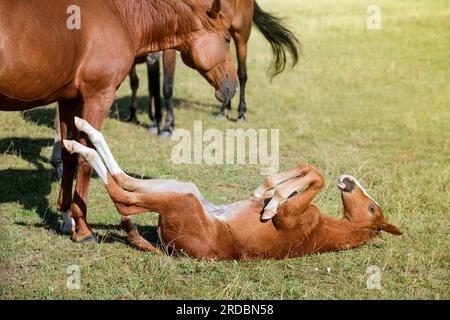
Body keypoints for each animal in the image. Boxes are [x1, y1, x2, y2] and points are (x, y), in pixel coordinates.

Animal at [0, 0, 239, 241]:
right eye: (227, 39)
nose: (233, 87)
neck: (120, 17)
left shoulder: (68, 101)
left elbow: (69, 156)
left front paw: (67, 219)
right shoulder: (98, 97)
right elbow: (85, 160)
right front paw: (83, 228)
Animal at [63, 117, 400, 260]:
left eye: (372, 208)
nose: (349, 180)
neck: (325, 229)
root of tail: (168, 248)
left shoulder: (290, 218)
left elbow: (315, 178)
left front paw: (272, 204)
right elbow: (308, 170)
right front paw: (266, 192)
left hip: (182, 199)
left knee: (123, 196)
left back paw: (77, 143)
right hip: (185, 189)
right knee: (125, 181)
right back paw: (83, 129)